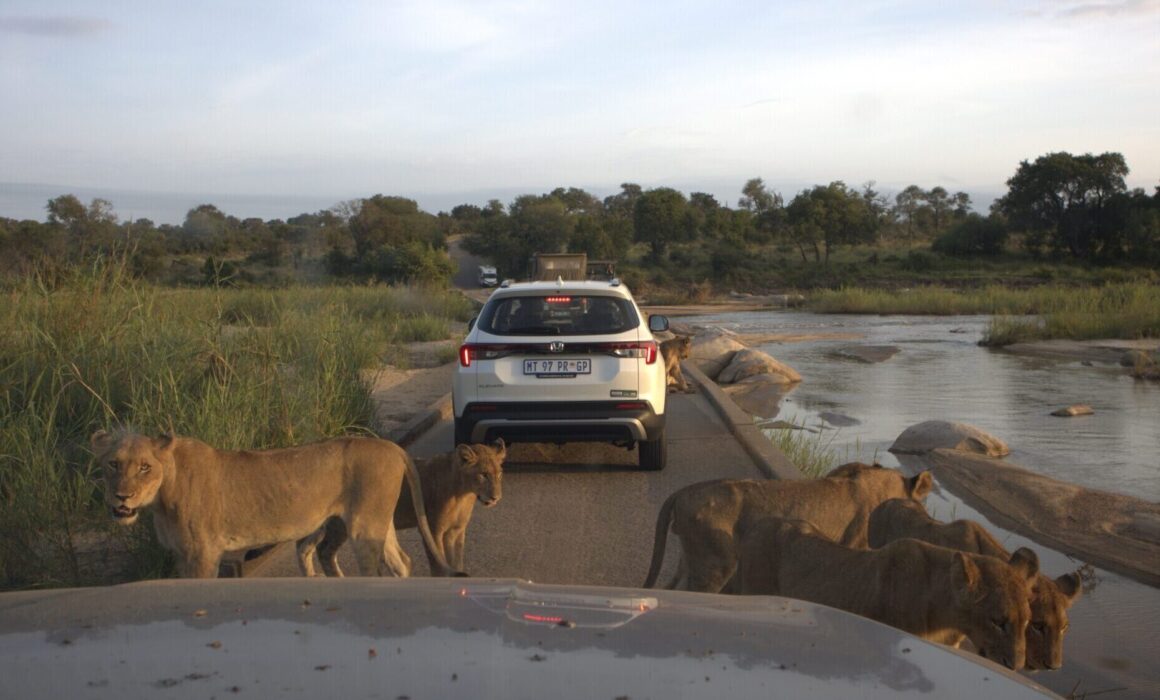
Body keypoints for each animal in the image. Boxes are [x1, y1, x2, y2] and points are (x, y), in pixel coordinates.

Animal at [91, 430, 458, 579]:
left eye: (144, 467)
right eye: (113, 464)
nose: (122, 496)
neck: (162, 497)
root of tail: (392, 447)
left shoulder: (204, 553)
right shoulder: (182, 556)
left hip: (364, 526)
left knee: (374, 568)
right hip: (377, 520)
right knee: (402, 561)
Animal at [297, 439, 507, 577]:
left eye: (499, 474)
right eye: (483, 474)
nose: (496, 497)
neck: (463, 494)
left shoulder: (456, 532)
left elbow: (456, 561)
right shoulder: (433, 530)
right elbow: (438, 563)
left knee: (304, 547)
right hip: (338, 525)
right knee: (322, 550)